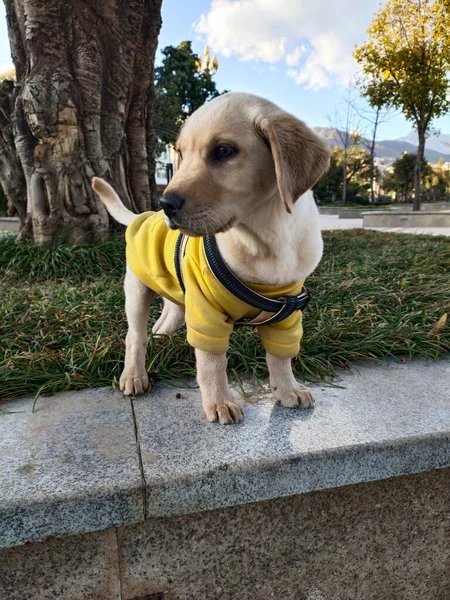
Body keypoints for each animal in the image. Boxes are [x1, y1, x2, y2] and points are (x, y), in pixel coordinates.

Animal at [92, 91, 330, 424]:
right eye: (180, 152)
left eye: (224, 151)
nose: (165, 203)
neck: (263, 239)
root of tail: (142, 216)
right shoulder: (207, 311)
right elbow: (212, 362)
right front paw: (219, 401)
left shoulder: (288, 311)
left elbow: (280, 355)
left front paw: (287, 389)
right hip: (137, 291)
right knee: (135, 336)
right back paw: (134, 375)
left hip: (178, 294)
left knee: (168, 315)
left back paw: (162, 335)